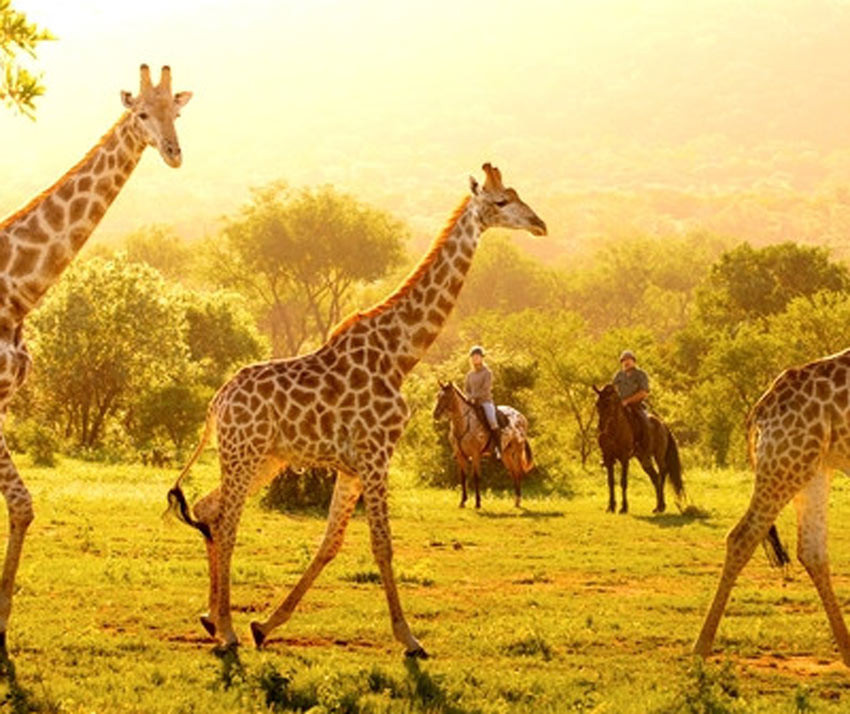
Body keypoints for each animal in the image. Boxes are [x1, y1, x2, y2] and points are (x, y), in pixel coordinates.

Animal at [0, 64, 190, 648]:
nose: (173, 152)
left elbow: (21, 506)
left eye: (176, 111)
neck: (17, 292)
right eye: (140, 114)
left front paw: (2, 626)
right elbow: (19, 504)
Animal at [434, 378, 532, 506]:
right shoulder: (460, 455)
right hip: (506, 454)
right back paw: (516, 501)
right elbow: (463, 477)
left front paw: (478, 503)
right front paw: (463, 501)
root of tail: (521, 416)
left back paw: (518, 501)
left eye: (446, 397)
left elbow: (476, 476)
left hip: (518, 450)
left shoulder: (475, 454)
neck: (464, 424)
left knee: (518, 472)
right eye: (438, 396)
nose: (435, 414)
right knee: (513, 472)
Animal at [592, 384, 684, 512]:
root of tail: (663, 425)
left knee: (662, 473)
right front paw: (611, 507)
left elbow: (623, 481)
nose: (601, 427)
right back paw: (658, 506)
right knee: (655, 477)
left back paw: (662, 505)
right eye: (597, 404)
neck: (614, 430)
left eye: (608, 402)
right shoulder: (608, 458)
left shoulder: (624, 458)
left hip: (659, 456)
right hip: (643, 460)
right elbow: (610, 482)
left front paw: (624, 508)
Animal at [692, 348, 850, 664]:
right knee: (742, 536)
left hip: (814, 467)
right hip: (788, 460)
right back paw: (701, 646)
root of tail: (761, 410)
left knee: (811, 551)